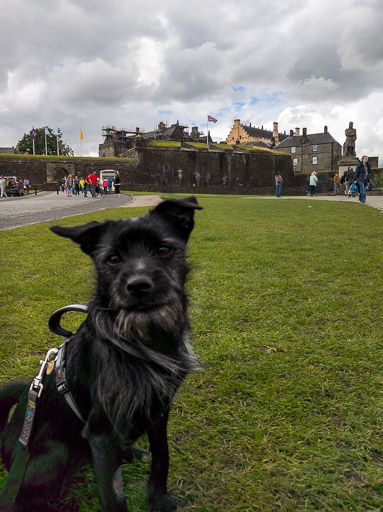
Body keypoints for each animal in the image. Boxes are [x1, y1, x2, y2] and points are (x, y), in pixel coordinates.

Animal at [0, 196, 204, 512]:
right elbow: (114, 498)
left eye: (164, 249)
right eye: (112, 259)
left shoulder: (158, 410)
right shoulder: (102, 435)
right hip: (56, 454)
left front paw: (159, 500)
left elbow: (162, 458)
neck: (142, 341)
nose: (138, 286)